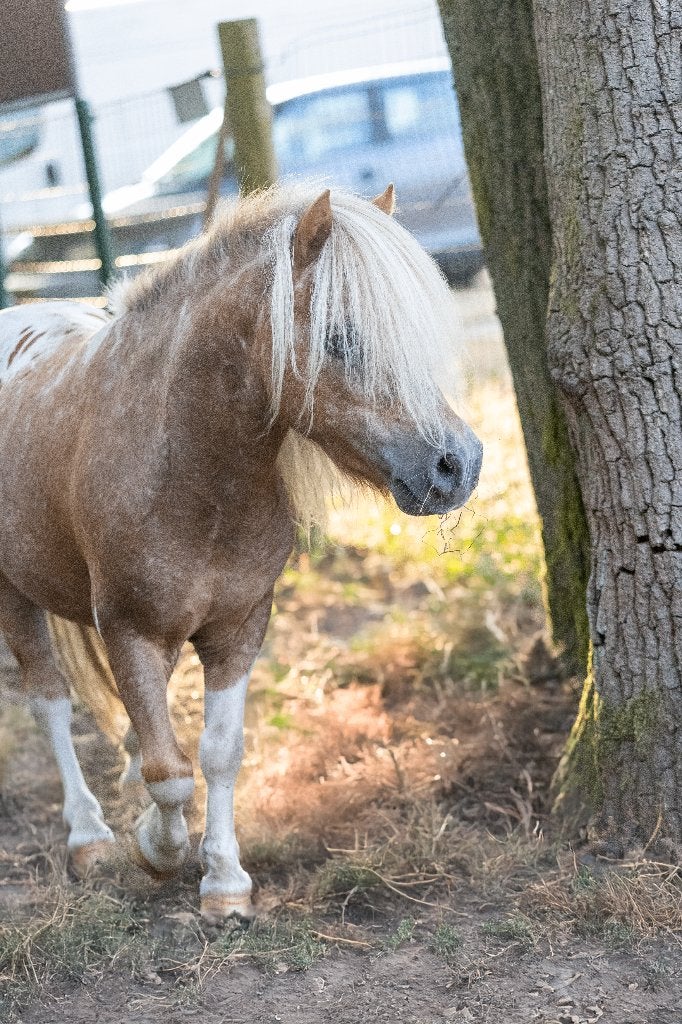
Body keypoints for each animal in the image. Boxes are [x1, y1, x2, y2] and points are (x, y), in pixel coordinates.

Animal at [0, 183, 482, 923]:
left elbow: (218, 752)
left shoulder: (238, 629)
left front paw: (224, 882)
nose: (458, 465)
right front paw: (156, 849)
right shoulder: (130, 630)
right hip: (14, 595)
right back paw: (89, 838)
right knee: (50, 702)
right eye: (340, 338)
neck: (189, 470)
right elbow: (170, 773)